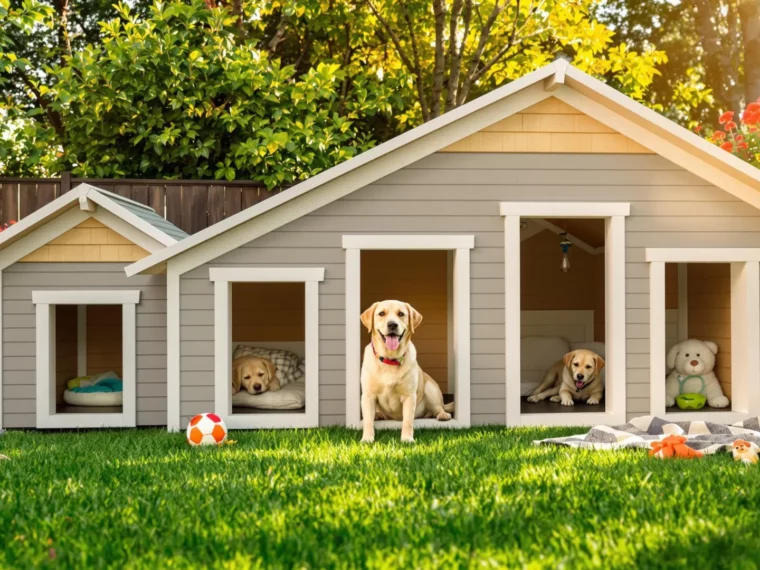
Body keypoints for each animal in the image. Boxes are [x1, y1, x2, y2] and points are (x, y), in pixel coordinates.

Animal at [356, 300, 452, 442]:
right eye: (381, 313)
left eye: (401, 314)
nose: (392, 324)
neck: (390, 359)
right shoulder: (368, 395)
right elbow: (368, 421)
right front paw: (367, 438)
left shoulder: (409, 396)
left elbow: (408, 421)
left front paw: (407, 439)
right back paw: (378, 415)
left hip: (430, 389)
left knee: (438, 408)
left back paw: (443, 415)